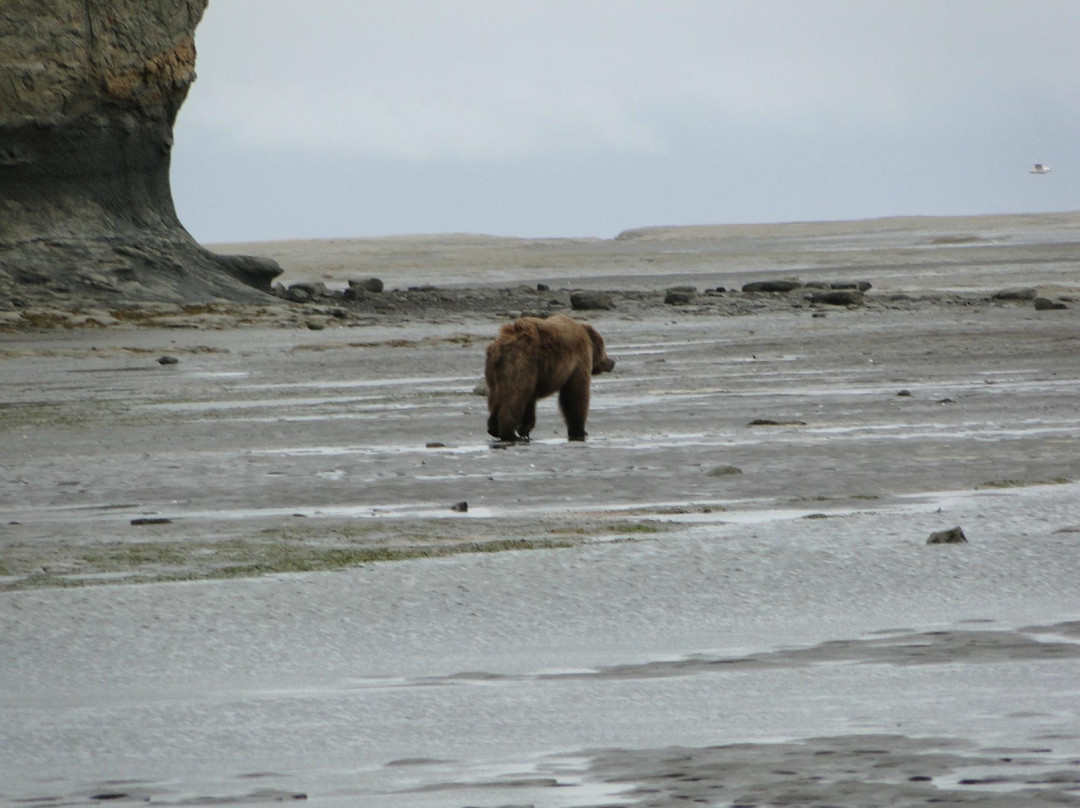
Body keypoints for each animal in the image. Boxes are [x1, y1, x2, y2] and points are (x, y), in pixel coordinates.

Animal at [485, 314, 615, 442]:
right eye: (604, 347)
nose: (611, 362)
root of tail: (502, 347)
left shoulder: (535, 376)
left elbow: (530, 402)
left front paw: (525, 429)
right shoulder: (579, 360)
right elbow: (576, 394)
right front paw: (579, 431)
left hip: (496, 372)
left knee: (498, 397)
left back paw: (494, 429)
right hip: (522, 363)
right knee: (515, 397)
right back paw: (510, 434)